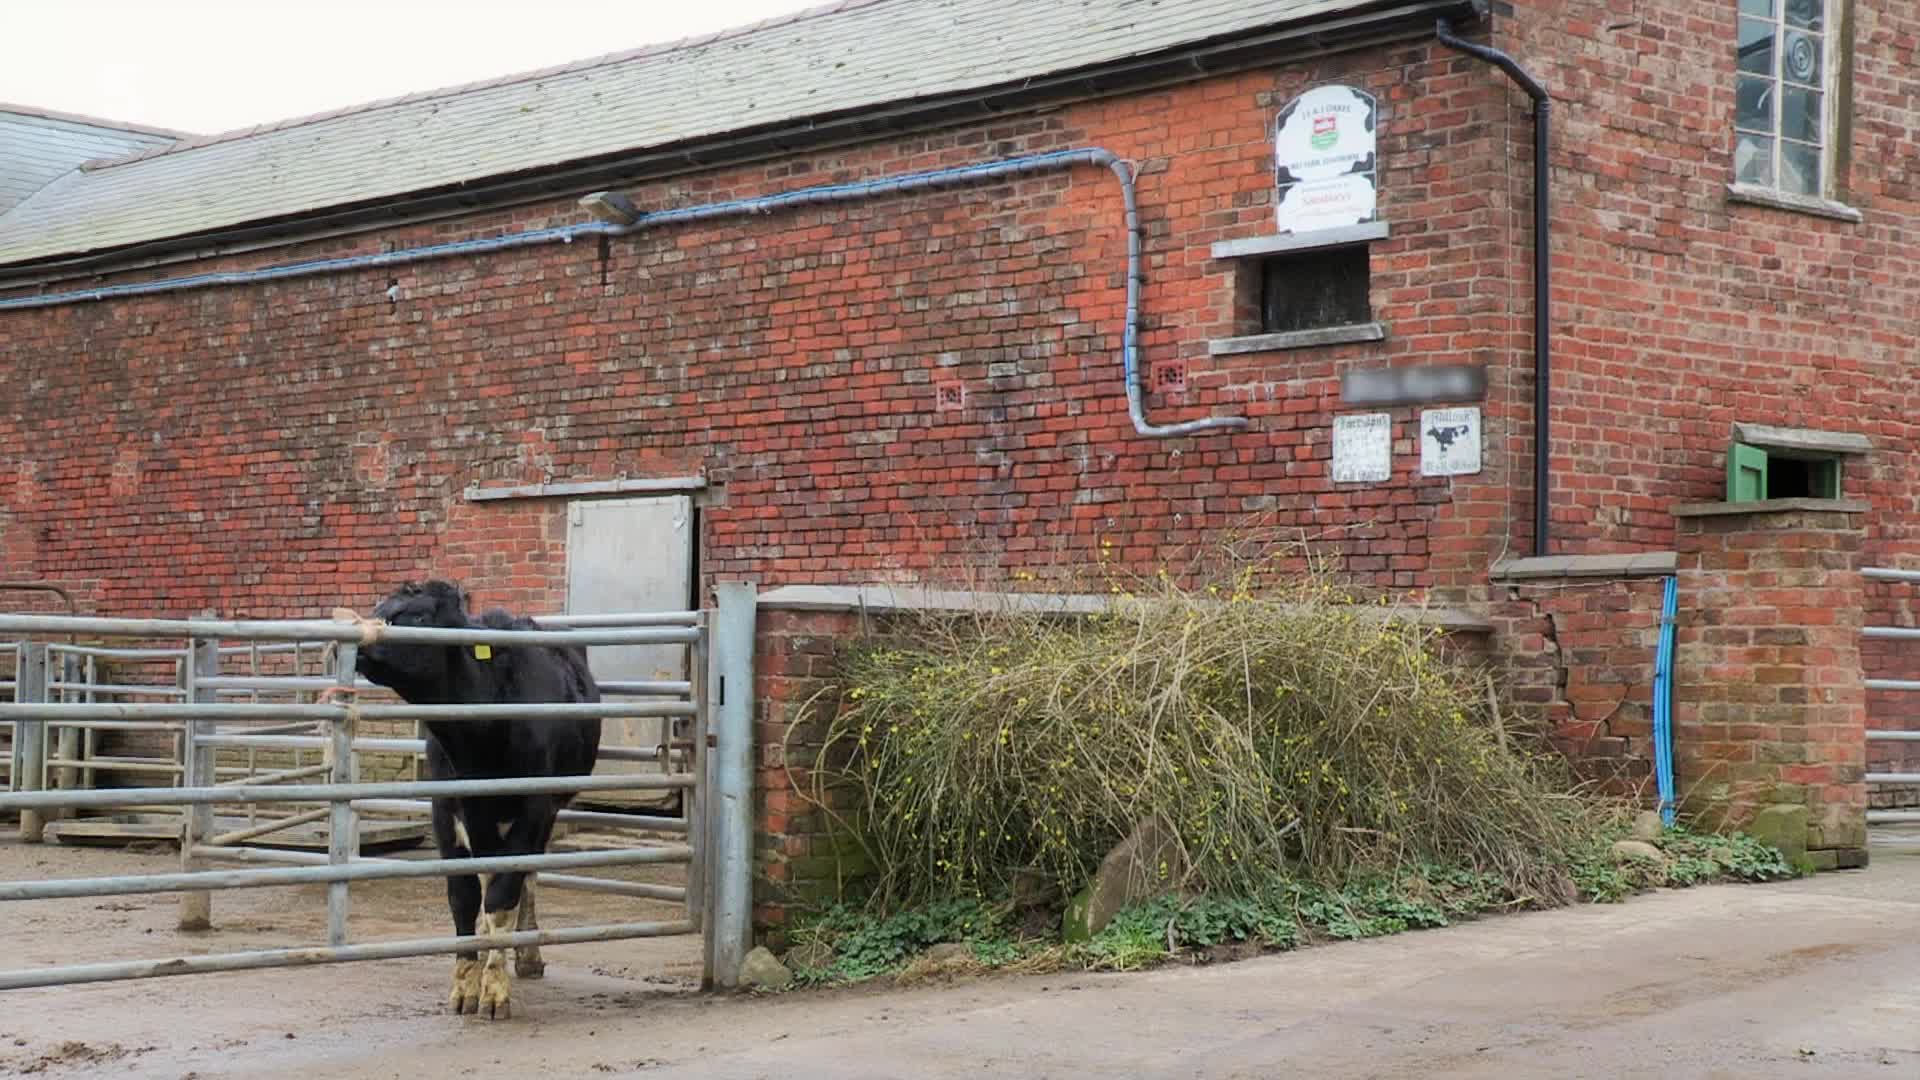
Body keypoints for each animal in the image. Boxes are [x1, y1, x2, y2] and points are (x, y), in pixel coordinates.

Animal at [351, 580, 602, 1020]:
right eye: (379, 608)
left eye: (418, 616)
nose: (360, 644)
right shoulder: (447, 808)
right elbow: (465, 897)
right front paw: (466, 984)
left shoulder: (535, 808)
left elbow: (503, 895)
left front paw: (495, 990)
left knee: (525, 877)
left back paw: (527, 954)